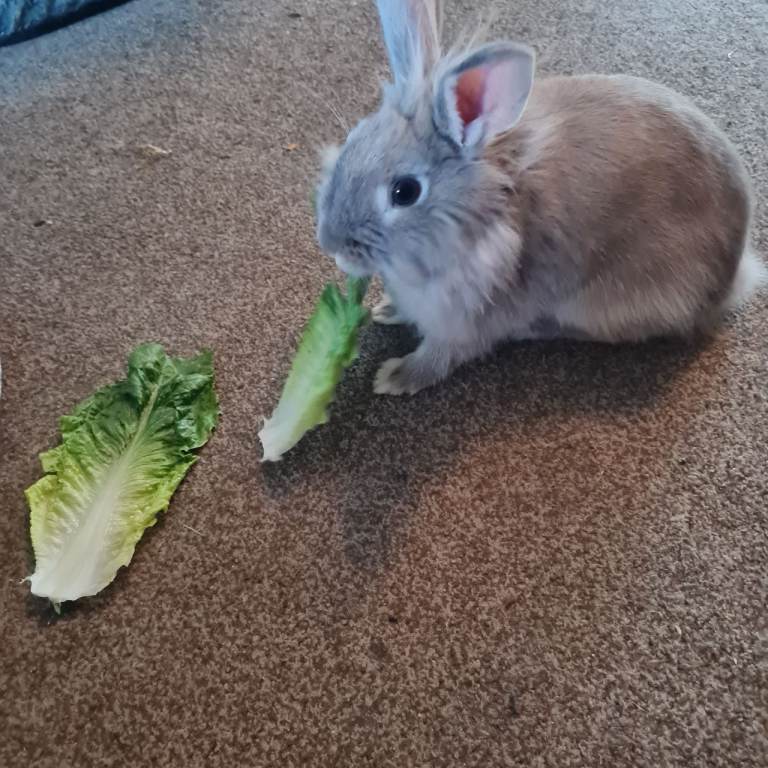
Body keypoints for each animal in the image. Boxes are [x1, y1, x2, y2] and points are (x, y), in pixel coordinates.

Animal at [315, 0, 765, 396]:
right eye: (353, 139)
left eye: (404, 192)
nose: (331, 245)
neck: (480, 214)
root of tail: (732, 278)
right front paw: (385, 310)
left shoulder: (462, 327)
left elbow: (438, 357)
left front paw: (394, 378)